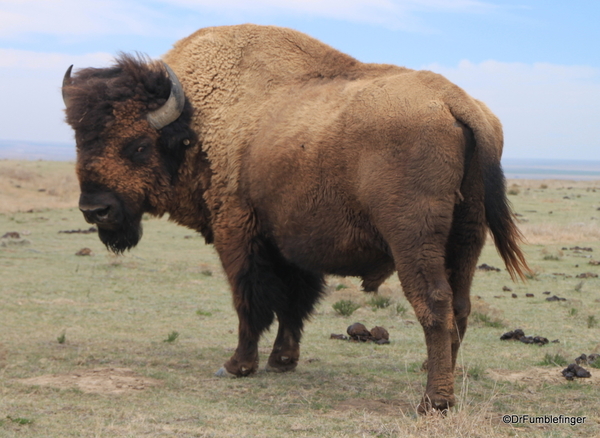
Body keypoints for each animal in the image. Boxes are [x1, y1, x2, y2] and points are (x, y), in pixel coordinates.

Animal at [63, 24, 528, 414]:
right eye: (79, 138)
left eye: (139, 145)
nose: (95, 209)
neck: (199, 119)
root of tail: (456, 104)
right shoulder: (290, 242)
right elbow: (293, 301)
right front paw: (282, 360)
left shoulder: (238, 231)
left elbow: (249, 299)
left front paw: (237, 365)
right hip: (467, 238)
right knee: (461, 307)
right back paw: (440, 382)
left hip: (413, 238)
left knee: (434, 302)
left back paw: (433, 401)